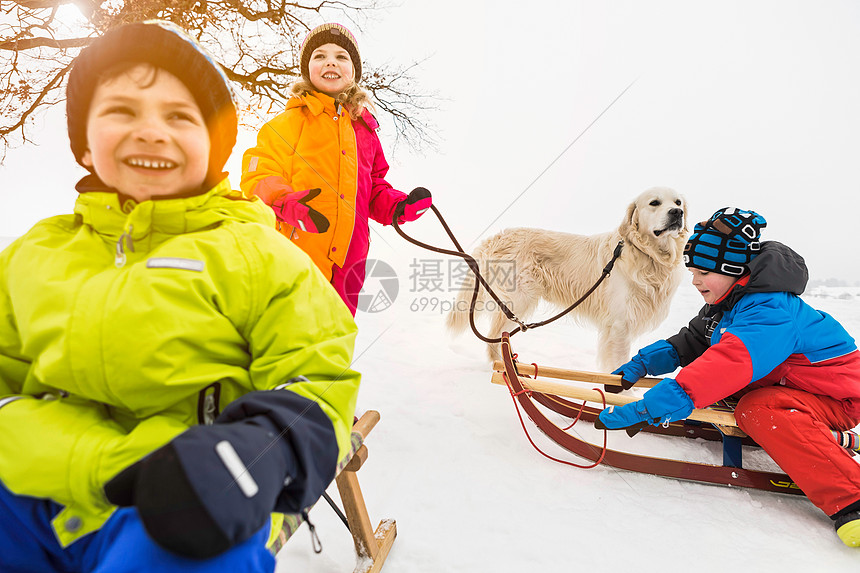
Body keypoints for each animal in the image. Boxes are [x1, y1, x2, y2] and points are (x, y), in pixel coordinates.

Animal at [446, 185, 688, 368]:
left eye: (678, 202)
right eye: (654, 203)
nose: (677, 213)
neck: (648, 255)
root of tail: (496, 237)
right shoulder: (619, 325)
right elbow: (618, 365)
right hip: (520, 298)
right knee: (495, 338)